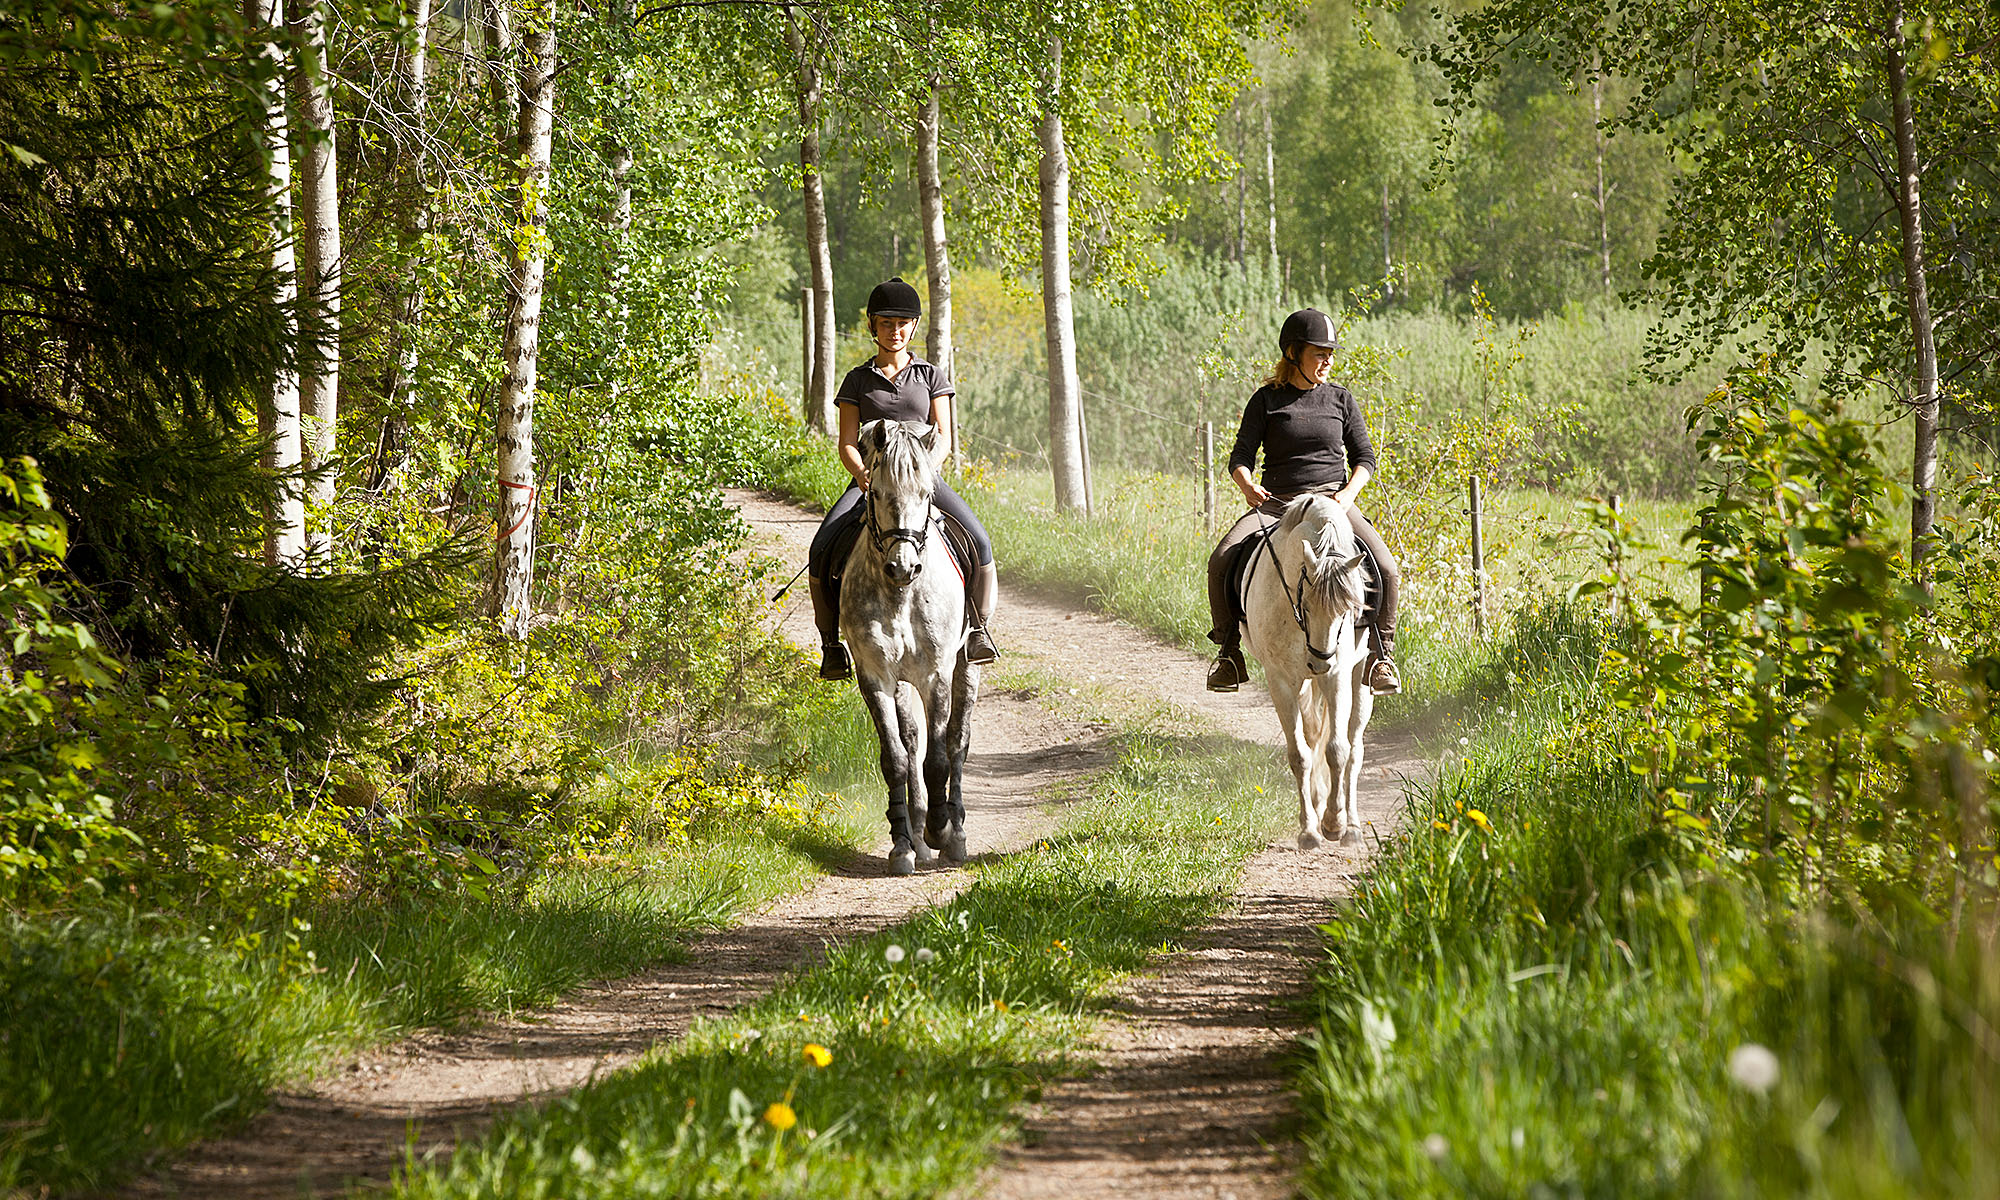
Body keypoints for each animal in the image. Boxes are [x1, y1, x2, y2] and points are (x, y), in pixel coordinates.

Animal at [832, 418, 980, 876]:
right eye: (877, 492)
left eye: (926, 495)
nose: (904, 566)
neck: (901, 594)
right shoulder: (876, 676)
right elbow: (897, 757)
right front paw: (903, 844)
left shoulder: (936, 674)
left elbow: (939, 758)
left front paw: (940, 829)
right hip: (901, 682)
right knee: (912, 739)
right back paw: (916, 833)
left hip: (967, 665)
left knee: (957, 740)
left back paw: (954, 834)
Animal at [1232, 492, 1376, 848]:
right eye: (1305, 604)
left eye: (1348, 609)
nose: (1320, 661)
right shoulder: (1281, 680)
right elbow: (1300, 754)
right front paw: (1310, 829)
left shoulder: (1337, 678)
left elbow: (1337, 751)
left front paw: (1335, 823)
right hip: (1303, 680)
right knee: (1312, 736)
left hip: (1360, 678)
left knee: (1354, 748)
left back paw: (1352, 825)